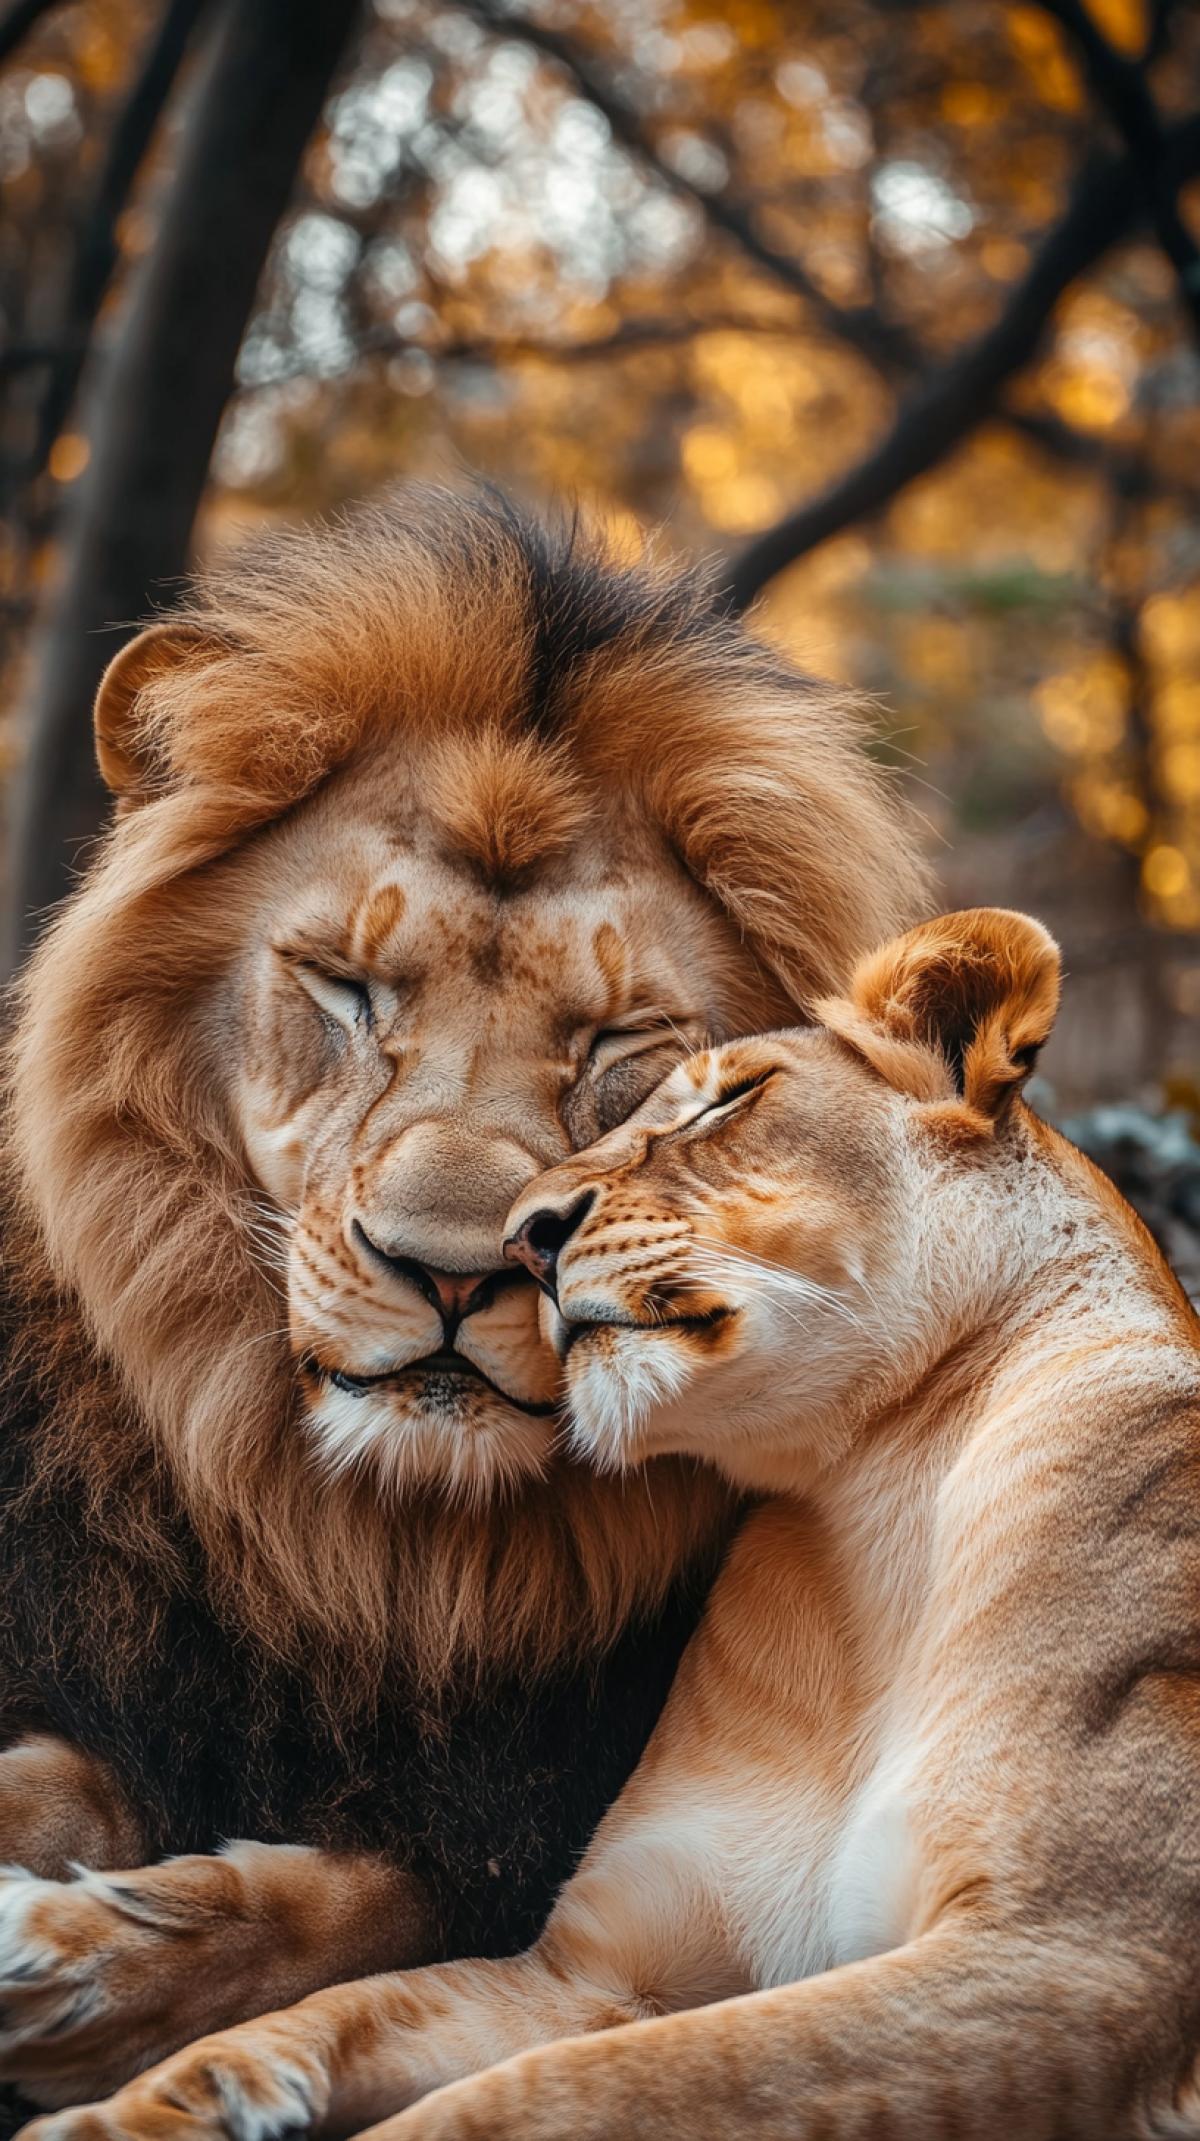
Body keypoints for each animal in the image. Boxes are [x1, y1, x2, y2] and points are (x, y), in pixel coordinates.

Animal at [0, 487, 927, 2108]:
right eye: (347, 987)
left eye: (620, 1040)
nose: (448, 1264)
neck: (387, 1559)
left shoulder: (549, 1821)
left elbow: (360, 1903)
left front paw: (79, 1963)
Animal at [45, 906, 1200, 2141]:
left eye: (725, 1100)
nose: (525, 1237)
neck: (869, 1515)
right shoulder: (600, 1970)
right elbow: (319, 2021)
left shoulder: (1073, 1951)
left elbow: (562, 2093)